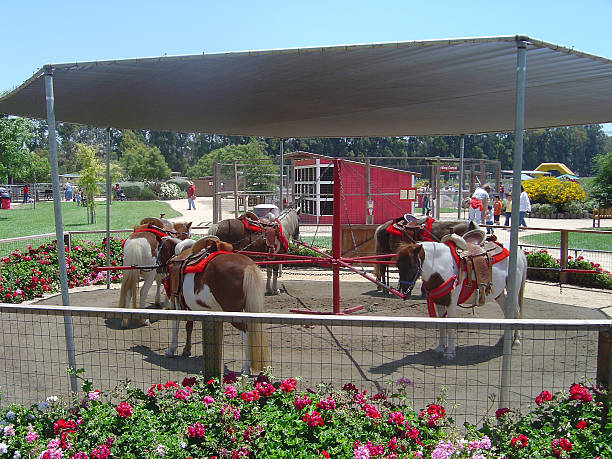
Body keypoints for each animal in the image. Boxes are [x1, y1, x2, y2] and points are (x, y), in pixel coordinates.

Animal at [164, 235, 268, 376]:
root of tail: (248, 265)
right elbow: (189, 326)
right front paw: (186, 349)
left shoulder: (175, 301)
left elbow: (175, 326)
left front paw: (171, 349)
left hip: (233, 313)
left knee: (245, 333)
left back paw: (246, 367)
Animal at [394, 239, 528, 362]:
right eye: (398, 265)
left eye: (411, 265)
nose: (404, 292)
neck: (441, 267)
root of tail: (520, 253)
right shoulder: (439, 302)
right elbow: (441, 325)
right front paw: (440, 348)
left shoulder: (451, 303)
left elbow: (451, 327)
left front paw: (450, 352)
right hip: (499, 294)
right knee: (507, 312)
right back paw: (505, 338)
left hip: (513, 291)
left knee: (516, 313)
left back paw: (516, 341)